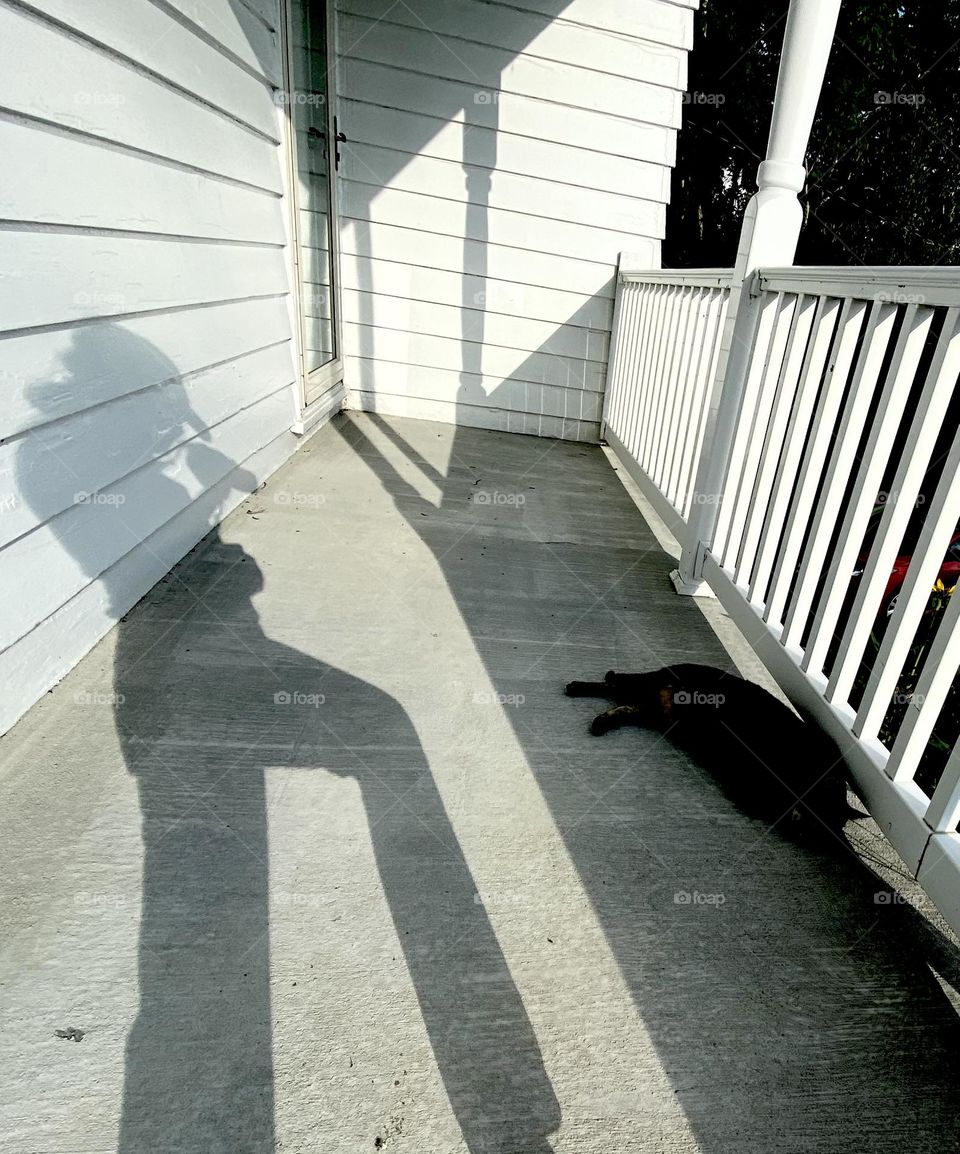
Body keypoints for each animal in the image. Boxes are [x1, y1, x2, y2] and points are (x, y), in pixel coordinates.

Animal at [563, 669, 853, 840]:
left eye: (821, 828)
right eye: (818, 810)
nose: (801, 831)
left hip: (649, 710)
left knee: (622, 702)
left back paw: (600, 720)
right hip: (649, 686)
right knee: (613, 680)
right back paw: (576, 687)